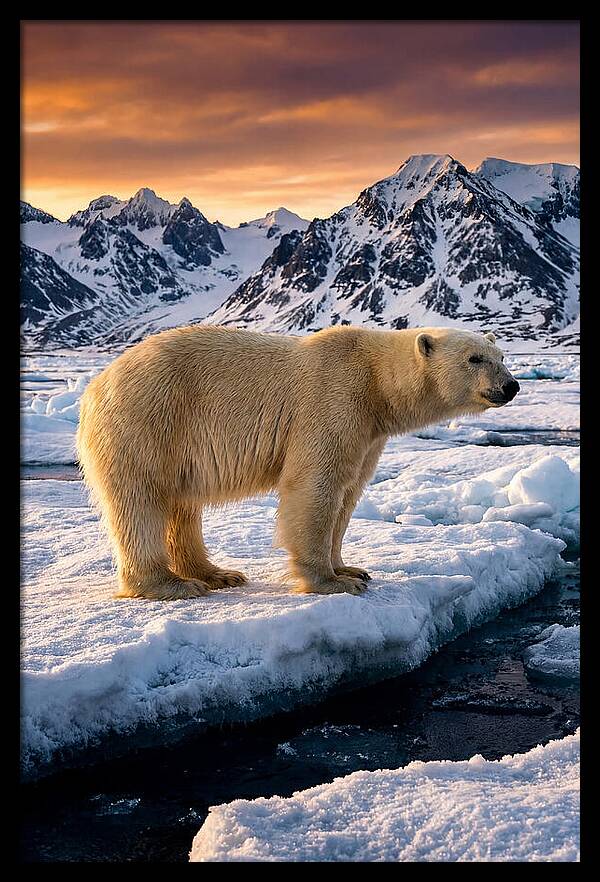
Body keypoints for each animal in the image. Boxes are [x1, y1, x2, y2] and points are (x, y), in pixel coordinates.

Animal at [76, 324, 519, 600]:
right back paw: (171, 584)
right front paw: (331, 583)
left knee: (182, 505)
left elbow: (348, 493)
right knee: (141, 500)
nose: (511, 385)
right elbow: (315, 486)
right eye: (475, 358)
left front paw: (350, 569)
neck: (376, 382)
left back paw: (216, 573)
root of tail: (96, 385)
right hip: (149, 420)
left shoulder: (368, 433)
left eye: (501, 355)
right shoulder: (334, 399)